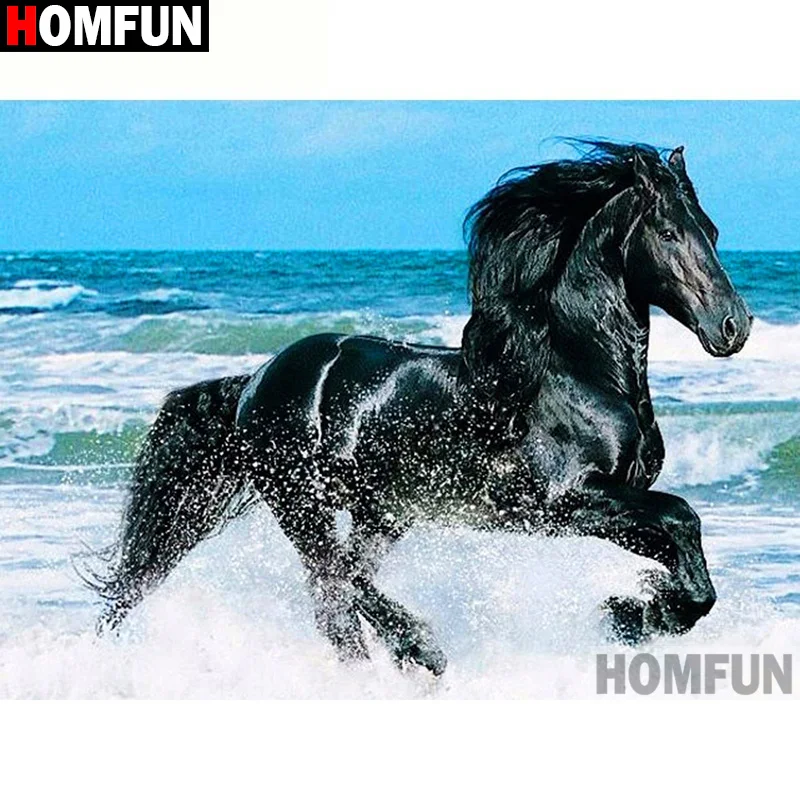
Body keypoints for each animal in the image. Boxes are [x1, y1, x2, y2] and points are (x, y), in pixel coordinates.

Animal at [87, 141, 752, 676]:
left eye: (714, 231)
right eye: (668, 233)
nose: (733, 326)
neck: (578, 370)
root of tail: (256, 381)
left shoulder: (613, 503)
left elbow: (684, 555)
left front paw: (635, 613)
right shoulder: (566, 502)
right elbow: (683, 517)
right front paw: (627, 613)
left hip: (383, 513)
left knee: (342, 587)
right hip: (304, 504)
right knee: (335, 581)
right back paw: (418, 650)